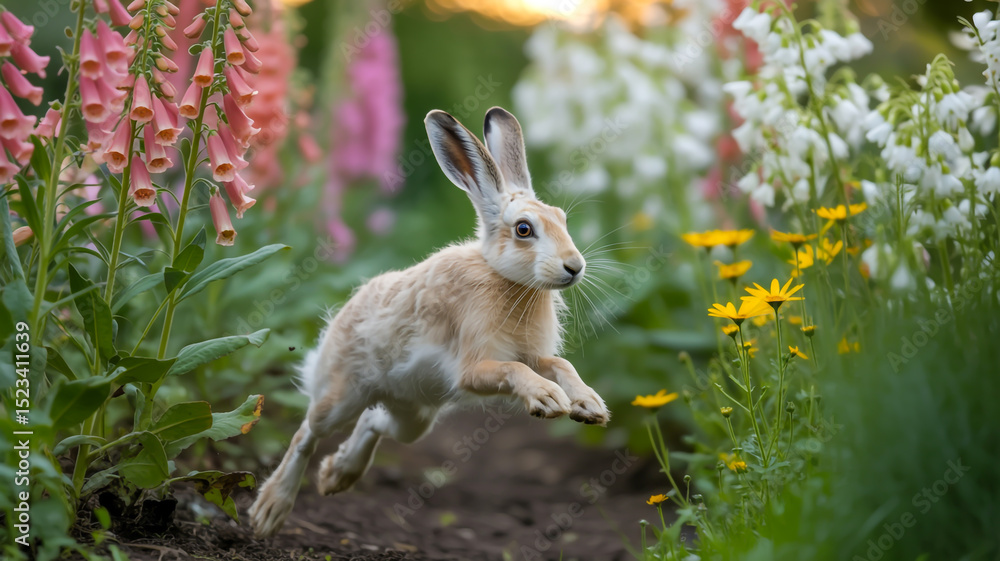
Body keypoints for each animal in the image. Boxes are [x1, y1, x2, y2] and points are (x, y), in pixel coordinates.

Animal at [249, 107, 609, 538]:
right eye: (524, 229)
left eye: (562, 219)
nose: (575, 267)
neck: (506, 279)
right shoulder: (473, 366)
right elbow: (514, 369)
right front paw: (548, 399)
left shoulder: (533, 353)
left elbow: (558, 364)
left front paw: (588, 405)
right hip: (341, 397)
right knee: (307, 432)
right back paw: (270, 509)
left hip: (413, 417)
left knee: (373, 423)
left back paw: (337, 475)